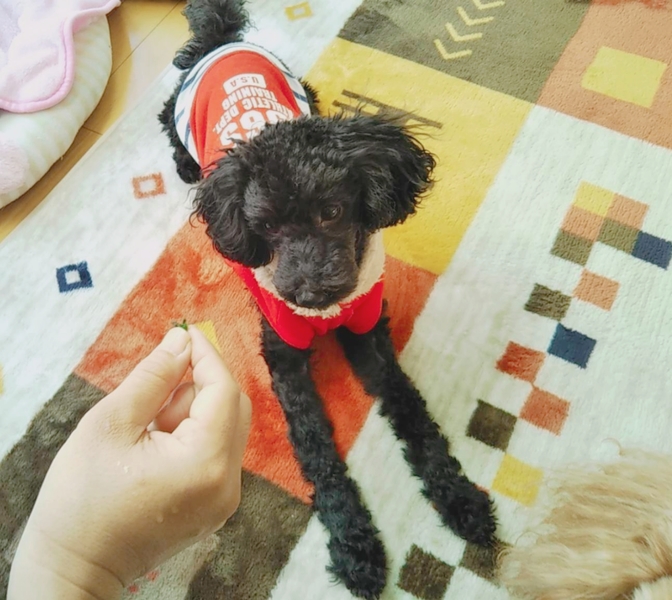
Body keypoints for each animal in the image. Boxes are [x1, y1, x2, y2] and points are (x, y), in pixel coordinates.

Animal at [159, 1, 497, 597]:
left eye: (333, 212)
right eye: (265, 227)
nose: (310, 290)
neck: (328, 316)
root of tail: (222, 42)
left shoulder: (369, 332)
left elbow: (413, 414)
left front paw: (460, 501)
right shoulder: (286, 357)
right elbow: (316, 448)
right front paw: (355, 547)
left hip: (303, 90)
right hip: (180, 115)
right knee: (165, 121)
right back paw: (183, 165)